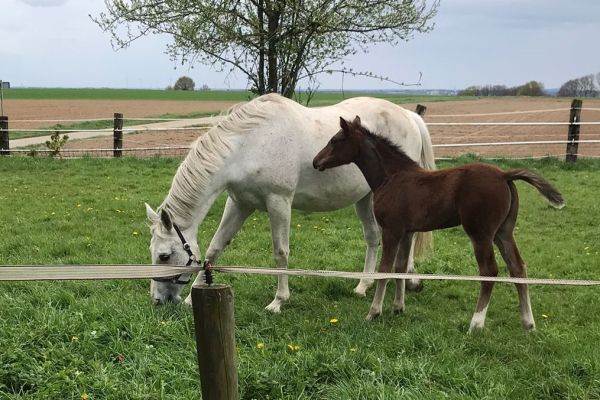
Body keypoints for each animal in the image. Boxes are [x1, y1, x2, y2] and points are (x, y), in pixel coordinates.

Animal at [145, 93, 436, 310]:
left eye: (164, 255)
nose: (158, 300)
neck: (249, 144)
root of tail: (409, 117)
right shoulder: (239, 204)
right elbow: (214, 248)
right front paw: (193, 296)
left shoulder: (279, 202)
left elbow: (281, 252)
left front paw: (278, 301)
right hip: (364, 197)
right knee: (373, 237)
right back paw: (363, 285)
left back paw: (409, 279)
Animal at [312, 115, 564, 332]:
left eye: (335, 140)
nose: (316, 161)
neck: (391, 177)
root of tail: (504, 175)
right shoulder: (407, 232)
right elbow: (400, 267)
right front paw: (398, 307)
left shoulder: (392, 230)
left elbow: (384, 269)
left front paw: (374, 312)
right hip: (503, 232)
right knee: (518, 268)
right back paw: (528, 323)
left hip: (480, 233)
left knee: (489, 271)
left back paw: (476, 324)